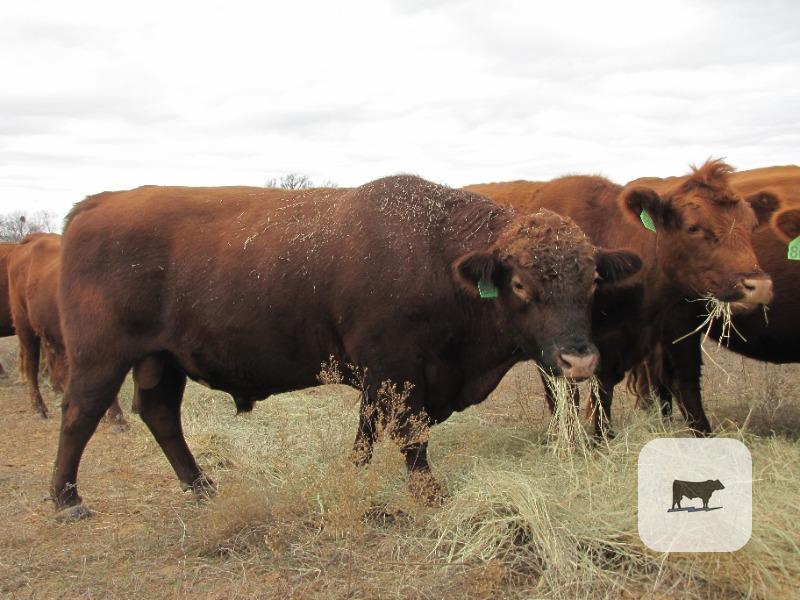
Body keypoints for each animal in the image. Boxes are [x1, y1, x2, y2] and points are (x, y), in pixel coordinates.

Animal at [50, 176, 642, 519]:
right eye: (519, 284)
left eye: (592, 280)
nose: (579, 358)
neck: (438, 254)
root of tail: (94, 206)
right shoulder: (398, 369)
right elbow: (409, 432)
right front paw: (429, 492)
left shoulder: (377, 375)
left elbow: (367, 429)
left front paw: (353, 473)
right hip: (101, 357)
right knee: (80, 413)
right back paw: (67, 500)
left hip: (161, 360)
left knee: (159, 415)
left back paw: (201, 487)